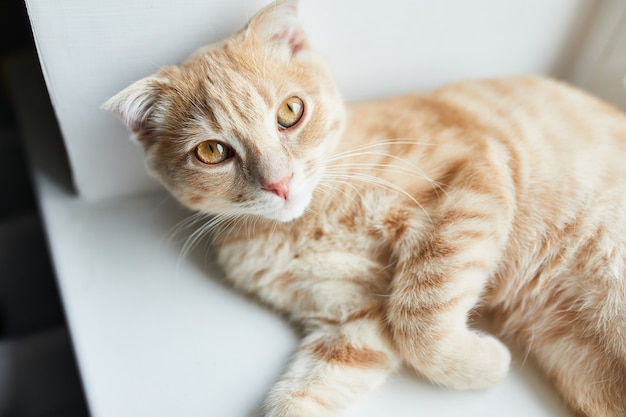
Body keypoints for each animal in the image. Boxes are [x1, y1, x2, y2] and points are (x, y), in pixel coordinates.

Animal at [103, 1, 624, 414]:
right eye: (212, 152)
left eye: (289, 112)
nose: (279, 182)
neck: (310, 220)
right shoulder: (351, 317)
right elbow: (306, 392)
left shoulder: (470, 177)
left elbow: (419, 317)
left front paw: (483, 363)